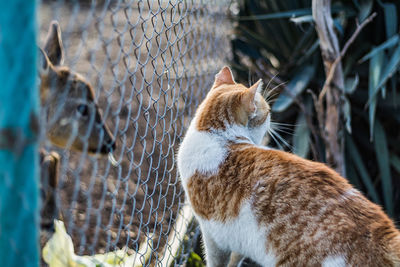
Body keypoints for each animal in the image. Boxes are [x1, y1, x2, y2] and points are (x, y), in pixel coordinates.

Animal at [177, 66, 400, 266]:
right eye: (267, 113)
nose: (272, 118)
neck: (218, 137)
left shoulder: (212, 235)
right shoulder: (226, 239)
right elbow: (233, 258)